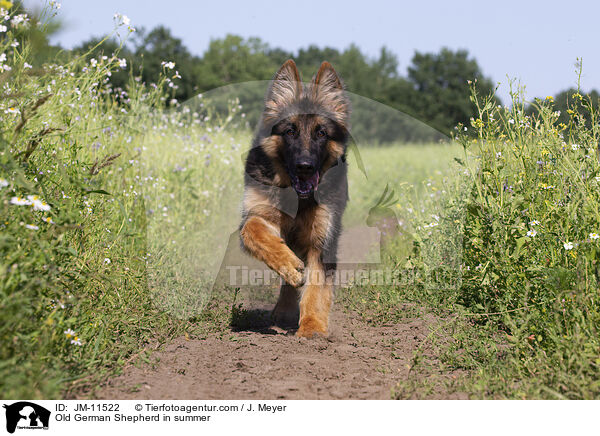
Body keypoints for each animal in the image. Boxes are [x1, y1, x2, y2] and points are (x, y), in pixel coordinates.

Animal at [240, 59, 352, 338]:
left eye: (321, 133)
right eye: (290, 132)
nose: (305, 167)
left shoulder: (322, 241)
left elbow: (316, 288)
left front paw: (312, 328)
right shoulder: (259, 215)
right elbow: (253, 229)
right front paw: (288, 265)